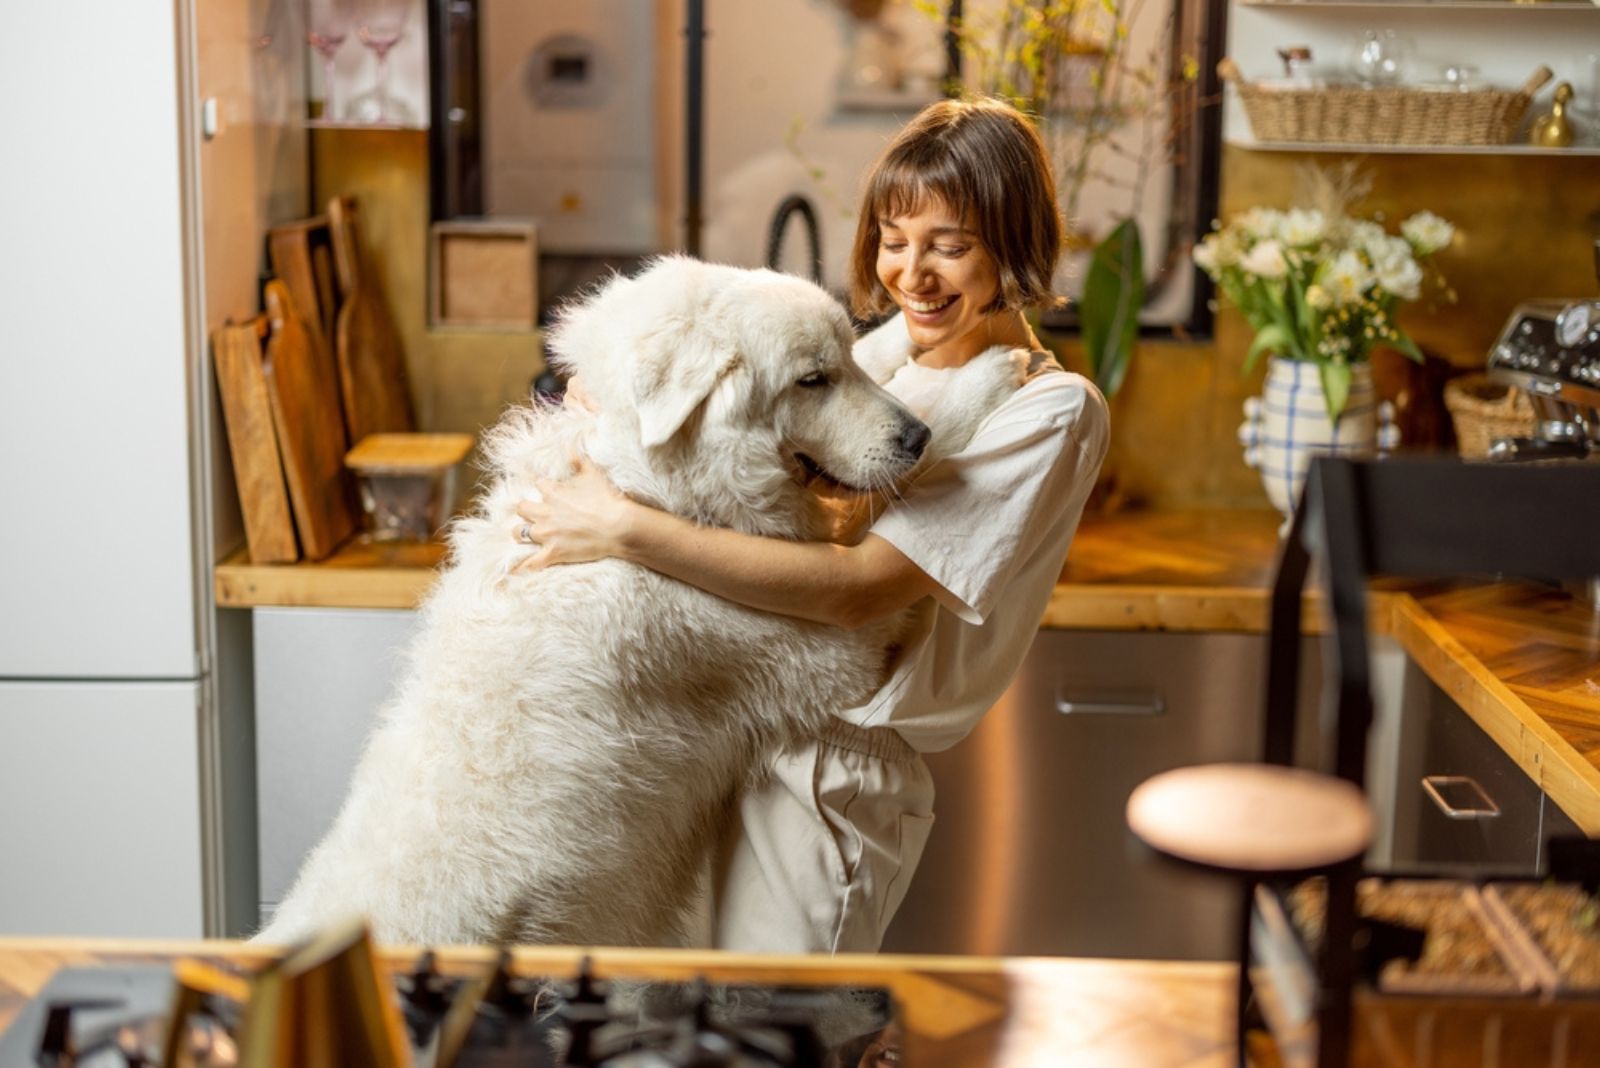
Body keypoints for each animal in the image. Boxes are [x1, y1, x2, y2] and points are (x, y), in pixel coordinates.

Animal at [256, 255, 1017, 940]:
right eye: (812, 381)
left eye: (841, 361)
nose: (911, 434)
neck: (648, 483)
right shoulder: (834, 640)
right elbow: (921, 483)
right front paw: (982, 382)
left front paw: (941, 339)